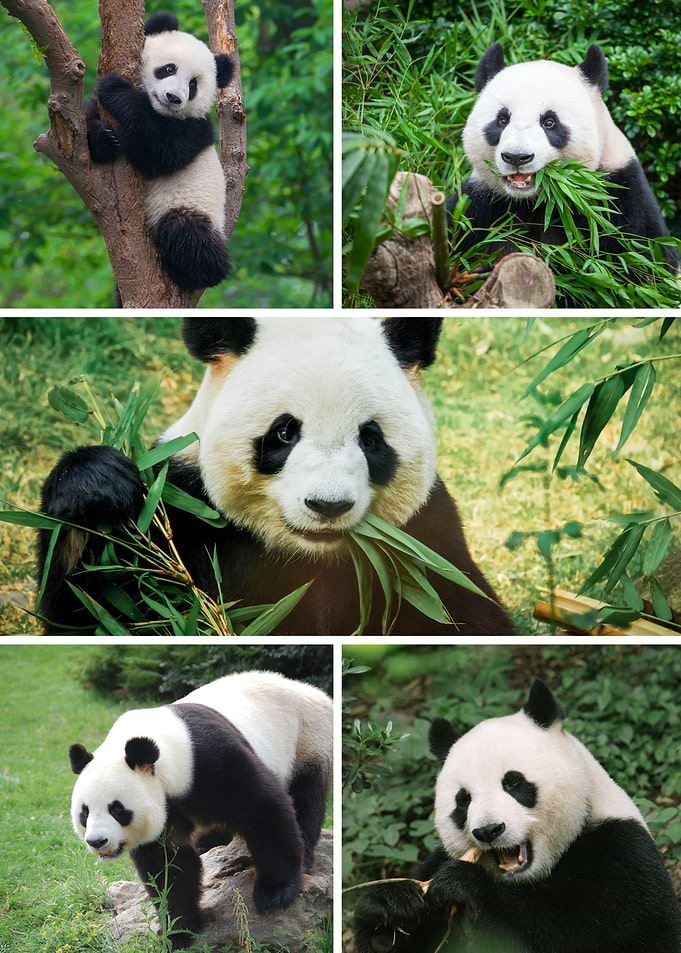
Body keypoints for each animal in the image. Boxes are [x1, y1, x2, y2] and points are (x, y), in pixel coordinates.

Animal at [37, 316, 514, 636]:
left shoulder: (423, 538)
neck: (310, 555)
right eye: (285, 432)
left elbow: (463, 614)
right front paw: (95, 489)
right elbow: (101, 608)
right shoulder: (182, 506)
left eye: (370, 438)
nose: (328, 506)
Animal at [69, 670, 332, 951]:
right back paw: (210, 844)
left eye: (117, 809)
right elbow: (169, 866)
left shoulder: (210, 761)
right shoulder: (167, 811)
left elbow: (264, 809)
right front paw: (178, 930)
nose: (97, 841)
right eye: (84, 813)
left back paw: (305, 853)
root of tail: (308, 689)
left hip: (307, 738)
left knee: (304, 797)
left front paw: (275, 894)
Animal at [86, 12, 232, 290]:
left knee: (188, 233)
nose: (173, 97)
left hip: (192, 206)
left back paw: (194, 272)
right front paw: (104, 139)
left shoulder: (193, 129)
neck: (160, 111)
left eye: (193, 84)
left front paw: (115, 88)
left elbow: (160, 152)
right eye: (169, 69)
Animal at [353, 680, 681, 953]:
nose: (488, 830)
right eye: (463, 801)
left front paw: (465, 884)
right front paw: (389, 909)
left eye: (513, 783)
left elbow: (576, 931)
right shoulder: (437, 863)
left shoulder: (621, 856)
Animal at [451, 43, 678, 293]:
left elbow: (638, 269)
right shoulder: (481, 204)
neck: (538, 201)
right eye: (502, 120)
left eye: (549, 122)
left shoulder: (618, 199)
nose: (517, 157)